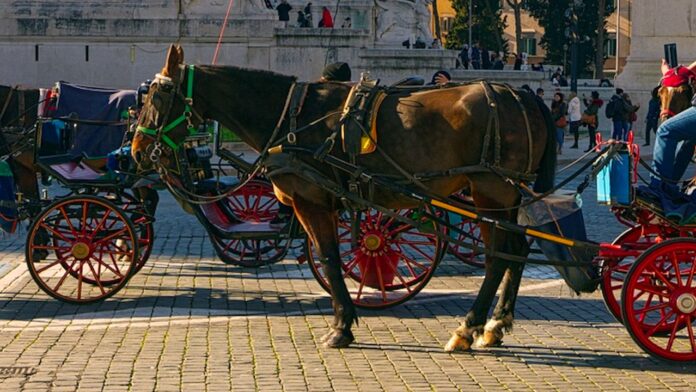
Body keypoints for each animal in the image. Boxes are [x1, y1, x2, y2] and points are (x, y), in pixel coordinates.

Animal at [130, 45, 600, 350]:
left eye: (157, 97)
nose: (136, 149)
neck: (292, 118)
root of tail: (523, 94)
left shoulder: (311, 200)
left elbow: (329, 257)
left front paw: (341, 325)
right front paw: (346, 318)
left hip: (490, 188)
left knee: (499, 255)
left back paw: (469, 327)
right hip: (499, 194)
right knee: (514, 248)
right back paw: (495, 326)